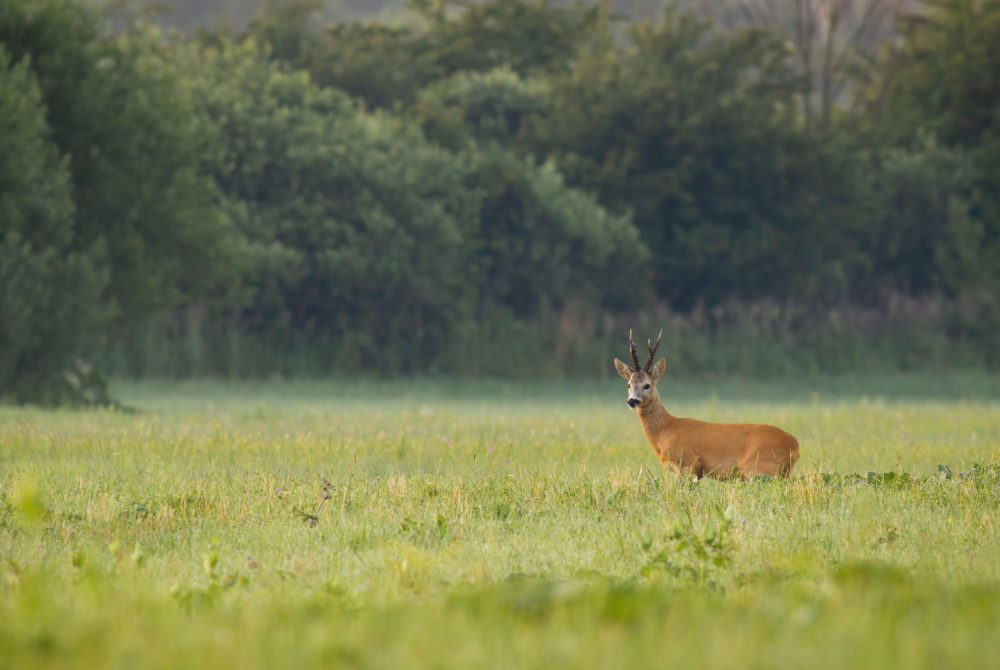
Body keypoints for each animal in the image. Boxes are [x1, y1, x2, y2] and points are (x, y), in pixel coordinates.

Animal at [612, 332, 800, 480]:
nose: (632, 401)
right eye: (628, 384)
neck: (666, 429)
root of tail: (794, 445)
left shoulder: (688, 463)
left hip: (759, 468)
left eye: (647, 385)